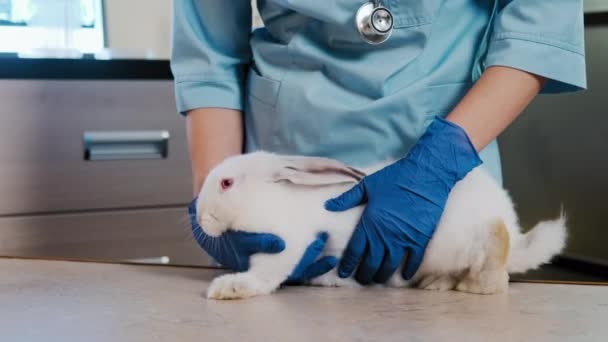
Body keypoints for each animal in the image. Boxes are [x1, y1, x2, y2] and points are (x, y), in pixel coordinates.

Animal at [197, 152, 568, 300]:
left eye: (227, 183)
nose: (199, 217)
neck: (270, 198)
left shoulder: (286, 246)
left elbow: (264, 275)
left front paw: (227, 288)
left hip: (473, 241)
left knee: (496, 262)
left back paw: (475, 286)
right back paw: (434, 285)